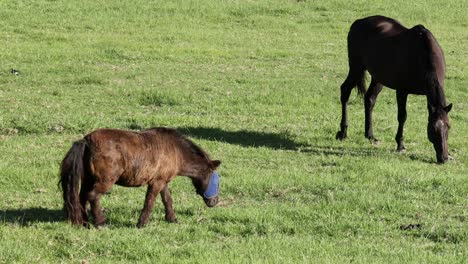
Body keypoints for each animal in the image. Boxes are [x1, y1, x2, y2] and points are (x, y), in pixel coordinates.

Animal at [60, 127, 221, 228]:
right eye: (216, 181)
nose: (214, 202)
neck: (176, 150)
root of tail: (86, 141)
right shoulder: (156, 183)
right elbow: (149, 202)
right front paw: (141, 224)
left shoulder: (162, 181)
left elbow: (167, 200)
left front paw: (172, 219)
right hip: (104, 181)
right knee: (93, 196)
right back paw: (100, 223)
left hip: (88, 180)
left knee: (81, 197)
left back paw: (85, 222)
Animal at [336, 16, 454, 163]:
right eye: (432, 128)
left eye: (448, 126)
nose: (443, 158)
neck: (422, 55)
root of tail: (358, 22)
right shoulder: (402, 91)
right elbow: (402, 116)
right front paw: (400, 144)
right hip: (356, 67)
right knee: (345, 91)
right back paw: (343, 132)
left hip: (378, 77)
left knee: (369, 99)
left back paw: (370, 135)